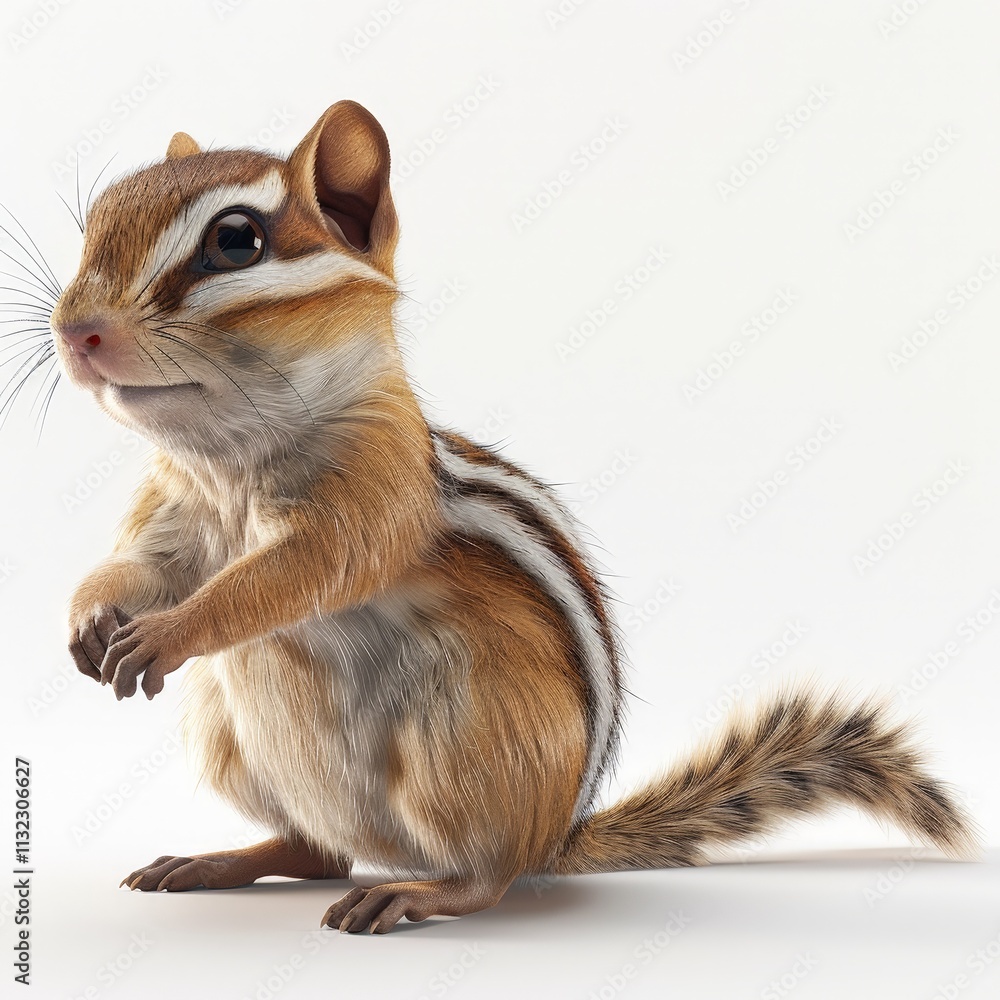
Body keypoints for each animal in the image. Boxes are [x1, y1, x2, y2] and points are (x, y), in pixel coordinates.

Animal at [43, 100, 976, 934]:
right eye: (97, 218)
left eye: (235, 241)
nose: (77, 331)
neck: (227, 458)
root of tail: (557, 836)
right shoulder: (174, 508)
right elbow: (145, 566)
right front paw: (90, 615)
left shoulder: (373, 492)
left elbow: (292, 575)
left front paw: (169, 632)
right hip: (228, 742)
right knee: (316, 852)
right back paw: (214, 861)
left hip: (464, 748)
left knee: (480, 877)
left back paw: (415, 896)